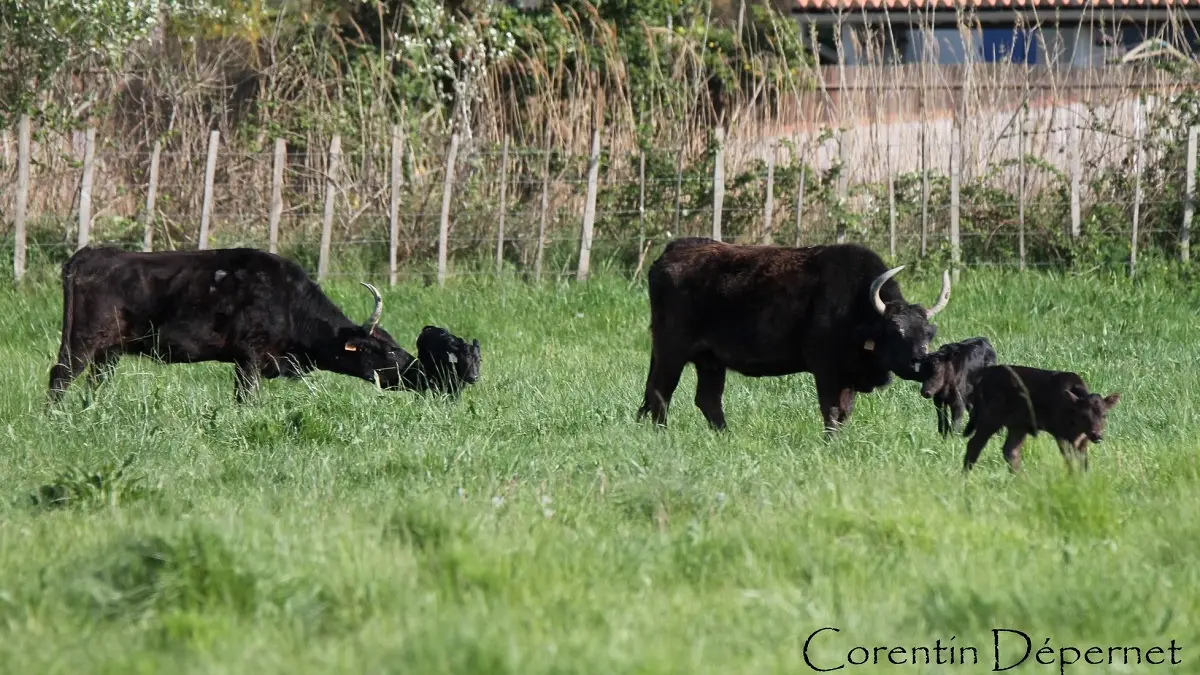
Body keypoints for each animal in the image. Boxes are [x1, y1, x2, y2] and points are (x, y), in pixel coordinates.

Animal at [46, 246, 477, 398]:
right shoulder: (249, 359)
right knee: (59, 376)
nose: (414, 369)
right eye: (385, 348)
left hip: (109, 353)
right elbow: (246, 399)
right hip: (81, 343)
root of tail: (87, 255)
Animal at [633, 236, 950, 432]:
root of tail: (670, 252)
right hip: (670, 352)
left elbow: (844, 413)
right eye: (896, 331)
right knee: (660, 394)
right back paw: (662, 434)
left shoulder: (847, 375)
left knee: (707, 400)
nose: (919, 363)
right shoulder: (826, 370)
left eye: (929, 333)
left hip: (710, 361)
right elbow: (831, 410)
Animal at [960, 365, 1118, 470]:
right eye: (1084, 415)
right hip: (990, 418)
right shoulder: (1061, 434)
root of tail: (984, 376)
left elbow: (1083, 462)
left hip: (1018, 425)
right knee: (974, 445)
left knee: (1011, 450)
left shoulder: (1082, 439)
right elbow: (1070, 460)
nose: (1097, 435)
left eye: (1104, 415)